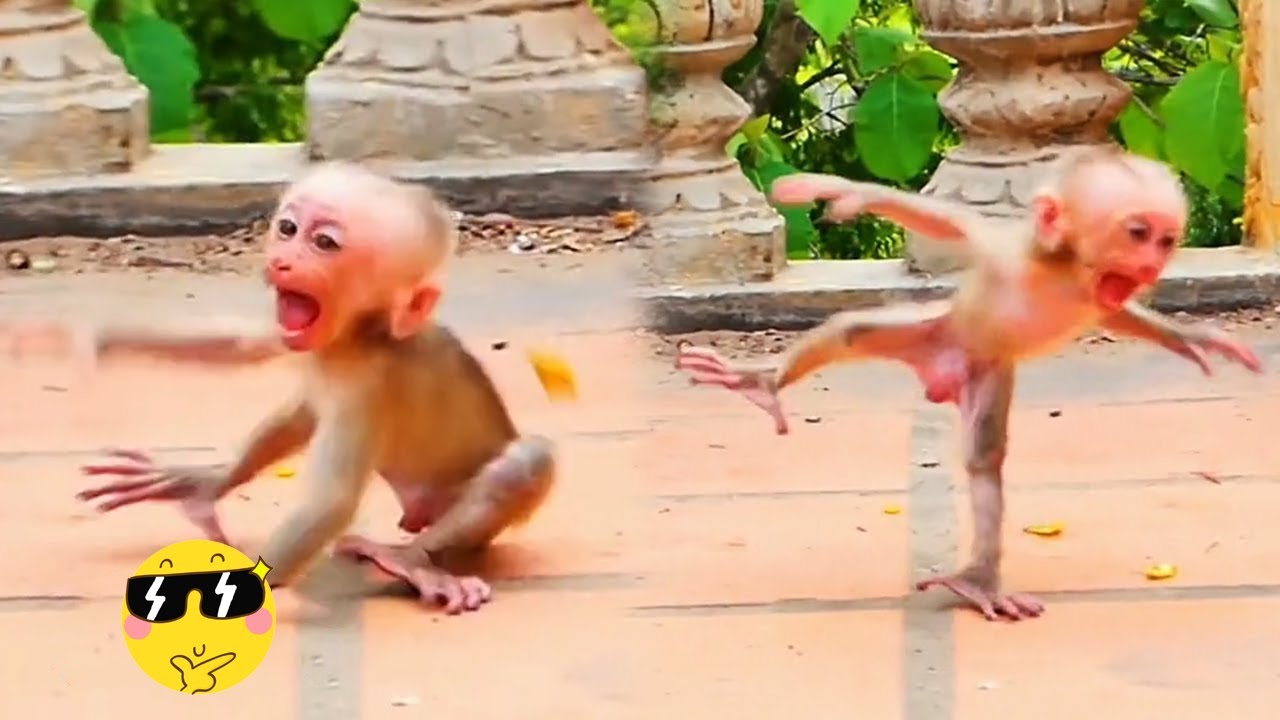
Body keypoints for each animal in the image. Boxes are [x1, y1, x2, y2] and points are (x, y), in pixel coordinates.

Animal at [59, 162, 556, 615]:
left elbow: (329, 503)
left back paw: (409, 559)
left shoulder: (367, 385)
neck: (356, 337)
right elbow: (242, 347)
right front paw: (106, 339)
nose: (282, 261)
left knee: (527, 461)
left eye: (324, 243)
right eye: (288, 228)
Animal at [674, 148, 1263, 622]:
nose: (1154, 259)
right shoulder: (1009, 252)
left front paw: (1191, 339)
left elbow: (1122, 314)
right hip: (941, 333)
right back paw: (763, 381)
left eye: (1166, 238)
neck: (1069, 272)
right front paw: (845, 192)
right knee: (850, 331)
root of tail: (941, 372)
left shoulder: (1101, 298)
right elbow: (948, 222)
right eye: (1138, 232)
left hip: (987, 369)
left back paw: (978, 581)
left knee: (984, 459)